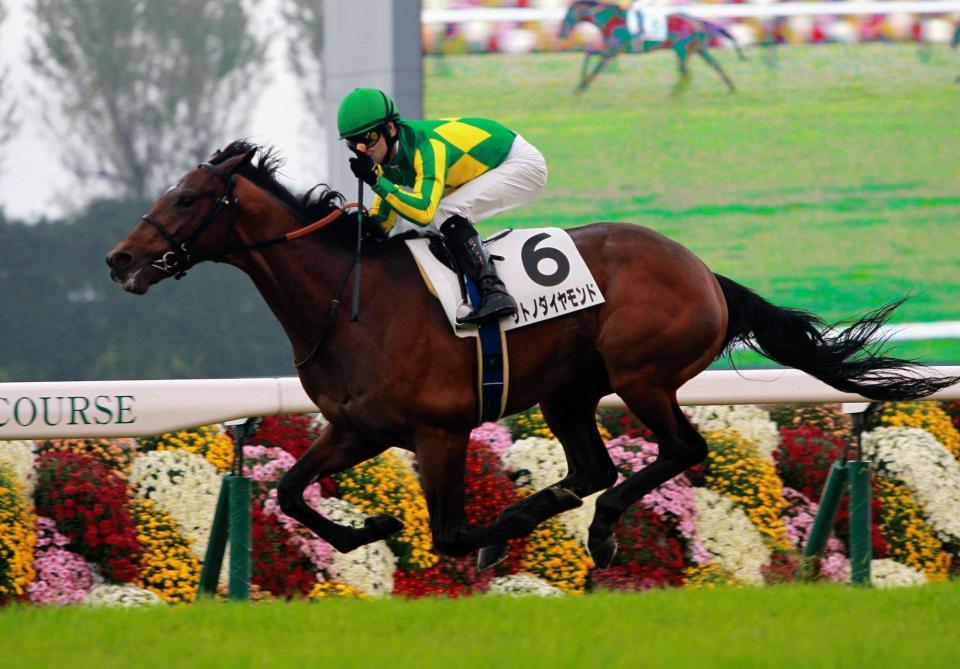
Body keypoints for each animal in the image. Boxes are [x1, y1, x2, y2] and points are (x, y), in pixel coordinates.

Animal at [106, 140, 956, 570]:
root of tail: (703, 271)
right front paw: (366, 528)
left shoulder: (439, 430)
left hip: (642, 376)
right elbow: (287, 491)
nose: (120, 260)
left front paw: (476, 536)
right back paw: (557, 511)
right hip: (567, 391)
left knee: (681, 450)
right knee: (594, 466)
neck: (350, 300)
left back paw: (601, 529)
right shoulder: (358, 428)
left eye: (188, 197)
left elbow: (450, 532)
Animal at [558, 0, 744, 93]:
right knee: (713, 65)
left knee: (686, 73)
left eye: (568, 14)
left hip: (682, 50)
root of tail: (698, 21)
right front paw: (581, 85)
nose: (561, 33)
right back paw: (732, 88)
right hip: (698, 49)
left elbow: (594, 62)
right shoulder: (611, 51)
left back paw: (676, 93)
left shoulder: (612, 51)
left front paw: (581, 86)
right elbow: (589, 54)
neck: (611, 20)